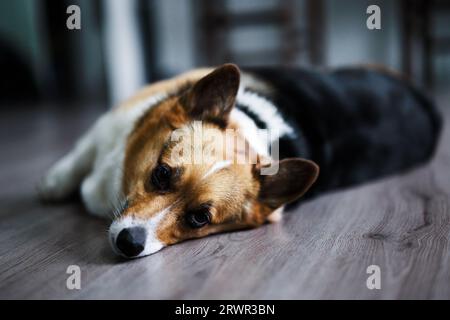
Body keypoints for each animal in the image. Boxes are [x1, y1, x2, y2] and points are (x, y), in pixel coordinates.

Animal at [37, 63, 440, 258]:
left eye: (199, 219)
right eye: (162, 173)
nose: (128, 243)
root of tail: (426, 101)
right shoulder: (111, 123)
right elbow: (80, 153)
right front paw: (52, 185)